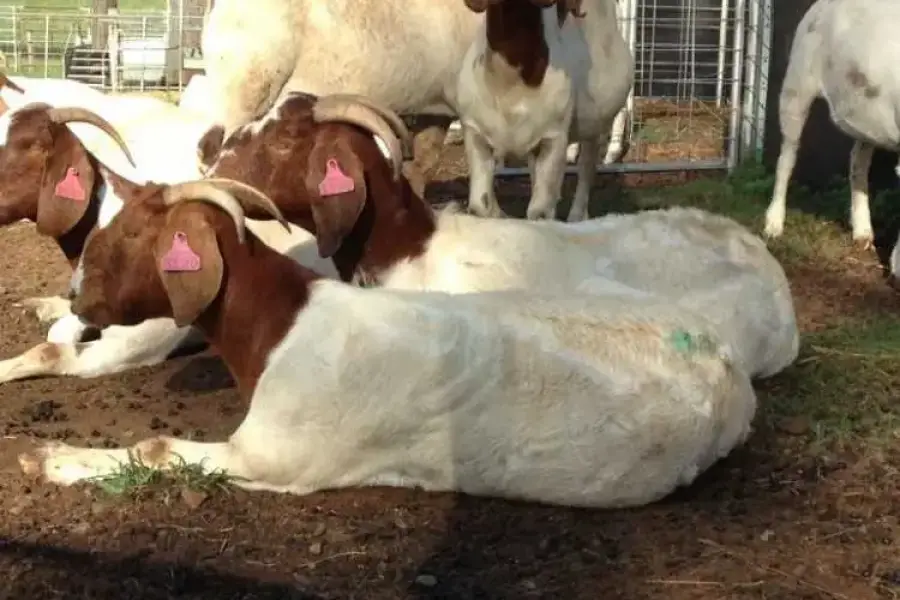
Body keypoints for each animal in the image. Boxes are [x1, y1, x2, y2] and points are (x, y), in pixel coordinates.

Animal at [19, 178, 758, 508]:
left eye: (129, 235)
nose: (75, 292)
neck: (282, 326)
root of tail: (729, 369)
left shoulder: (274, 457)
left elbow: (155, 447)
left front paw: (44, 459)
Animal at [454, 0, 634, 221]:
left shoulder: (554, 136)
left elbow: (539, 212)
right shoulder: (475, 131)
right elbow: (480, 205)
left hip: (597, 124)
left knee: (586, 168)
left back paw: (577, 215)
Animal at [764, 0, 900, 249]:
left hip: (865, 114)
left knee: (857, 162)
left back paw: (862, 231)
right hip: (797, 84)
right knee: (786, 158)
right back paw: (774, 223)